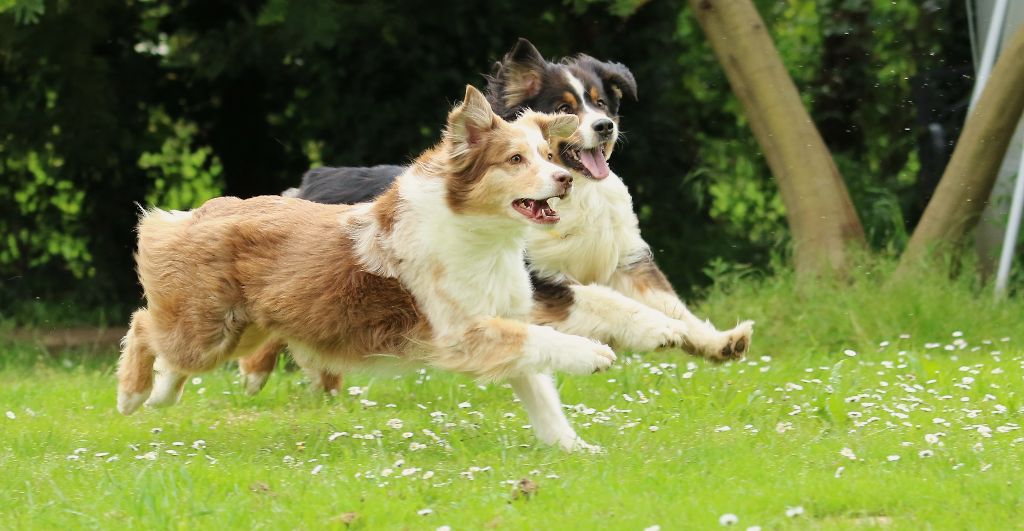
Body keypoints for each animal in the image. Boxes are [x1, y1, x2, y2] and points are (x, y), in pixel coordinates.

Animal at [116, 87, 618, 452]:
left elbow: (542, 394)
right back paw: (132, 396)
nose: (565, 179)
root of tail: (201, 212)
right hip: (207, 329)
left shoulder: (501, 322)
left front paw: (576, 448)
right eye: (515, 160)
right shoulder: (462, 332)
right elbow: (543, 340)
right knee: (143, 325)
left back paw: (161, 396)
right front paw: (593, 353)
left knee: (173, 355)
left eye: (548, 157)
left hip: (242, 330)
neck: (485, 235)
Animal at [237, 39, 753, 396]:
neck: (572, 193)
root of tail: (307, 181)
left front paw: (718, 342)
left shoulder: (626, 259)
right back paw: (256, 373)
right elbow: (606, 302)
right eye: (564, 108)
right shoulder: (537, 280)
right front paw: (657, 331)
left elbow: (673, 304)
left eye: (602, 102)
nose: (606, 127)